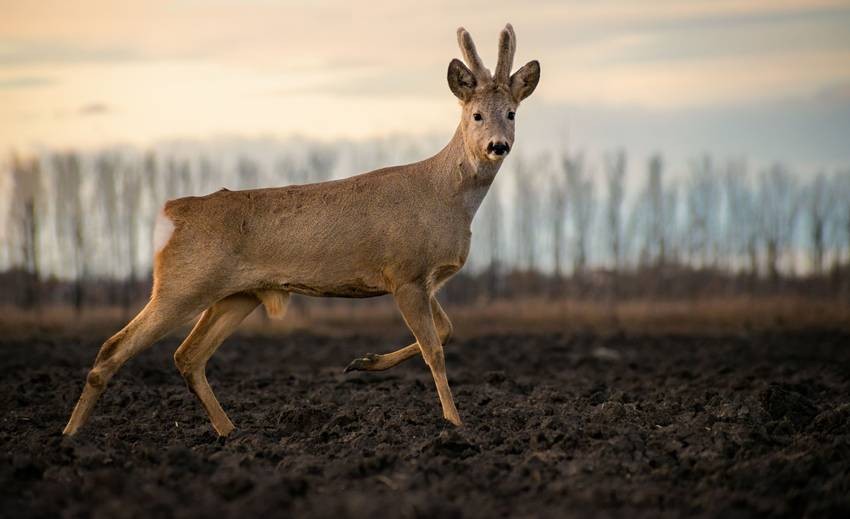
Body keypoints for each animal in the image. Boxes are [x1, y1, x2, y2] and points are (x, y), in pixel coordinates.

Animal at [63, 24, 540, 437]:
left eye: (512, 113)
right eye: (475, 115)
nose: (498, 145)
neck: (445, 197)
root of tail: (172, 212)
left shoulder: (425, 280)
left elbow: (447, 331)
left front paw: (361, 362)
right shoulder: (403, 272)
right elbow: (434, 350)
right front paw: (455, 423)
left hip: (237, 294)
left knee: (188, 356)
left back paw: (231, 432)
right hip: (181, 283)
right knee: (114, 349)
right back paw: (70, 436)